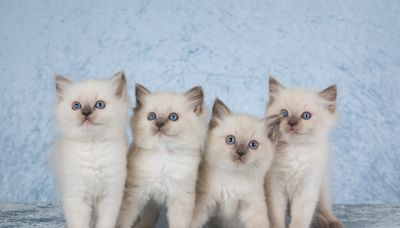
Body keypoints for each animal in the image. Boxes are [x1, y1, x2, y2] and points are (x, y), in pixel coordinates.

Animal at [52, 71, 130, 228]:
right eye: (76, 106)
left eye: (100, 105)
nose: (86, 112)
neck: (92, 146)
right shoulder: (76, 196)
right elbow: (79, 224)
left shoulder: (110, 196)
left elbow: (104, 224)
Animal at [115, 83, 208, 228]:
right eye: (151, 116)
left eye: (173, 117)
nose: (159, 123)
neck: (163, 155)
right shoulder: (134, 193)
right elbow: (123, 221)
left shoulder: (180, 198)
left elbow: (179, 224)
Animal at [190, 99, 272, 228]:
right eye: (230, 140)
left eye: (253, 145)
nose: (240, 153)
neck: (233, 177)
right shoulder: (204, 201)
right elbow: (192, 221)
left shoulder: (252, 205)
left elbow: (260, 224)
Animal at [264, 77, 342, 227]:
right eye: (284, 113)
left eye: (306, 116)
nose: (292, 123)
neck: (295, 150)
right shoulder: (275, 188)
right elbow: (276, 218)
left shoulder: (307, 189)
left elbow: (300, 219)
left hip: (322, 187)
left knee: (324, 207)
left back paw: (332, 223)